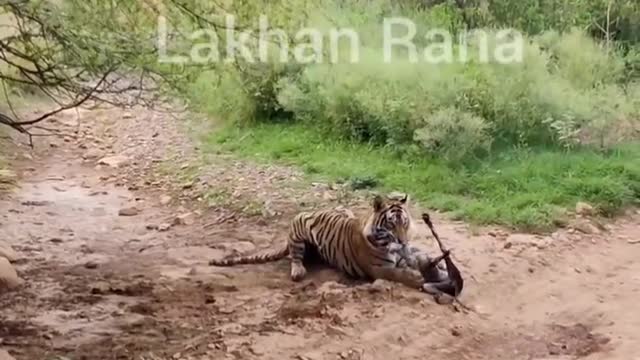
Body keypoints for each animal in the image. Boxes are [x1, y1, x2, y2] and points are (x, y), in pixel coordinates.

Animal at [208, 191, 438, 290]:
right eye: (391, 225)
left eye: (405, 223)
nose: (403, 242)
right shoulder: (377, 268)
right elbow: (396, 274)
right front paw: (416, 278)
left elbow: (418, 258)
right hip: (298, 230)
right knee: (295, 257)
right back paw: (298, 271)